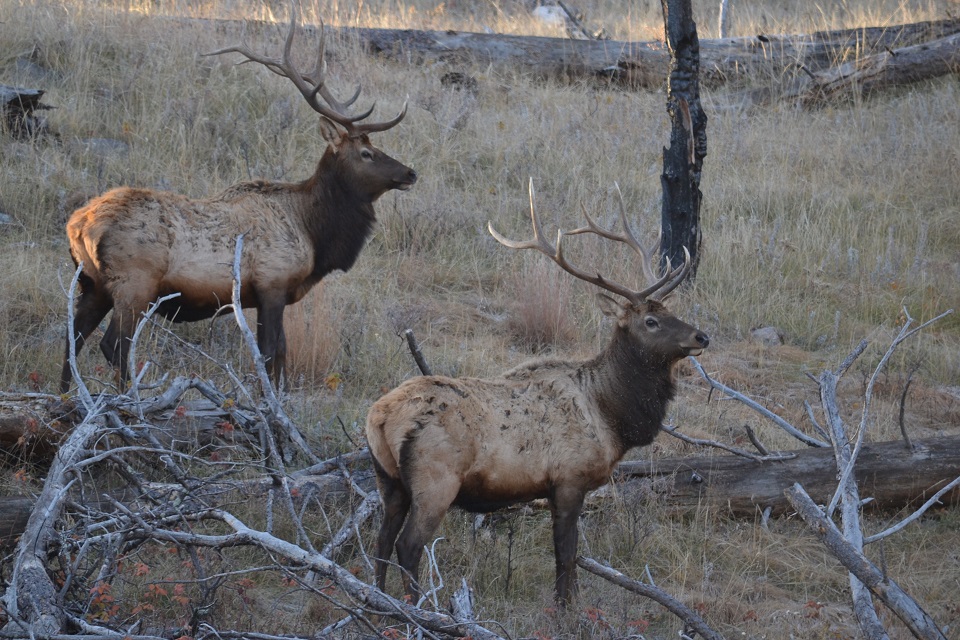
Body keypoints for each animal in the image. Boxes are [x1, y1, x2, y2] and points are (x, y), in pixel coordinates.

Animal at [59, 7, 416, 392]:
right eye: (367, 153)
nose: (410, 173)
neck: (312, 231)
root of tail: (78, 225)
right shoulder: (272, 283)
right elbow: (271, 353)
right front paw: (270, 401)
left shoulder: (262, 295)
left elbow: (279, 353)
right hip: (134, 283)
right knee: (114, 345)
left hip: (92, 283)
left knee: (72, 339)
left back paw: (66, 395)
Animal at [364, 180, 708, 604]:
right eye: (651, 321)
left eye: (670, 312)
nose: (701, 336)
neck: (611, 417)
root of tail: (379, 416)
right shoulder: (569, 479)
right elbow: (566, 557)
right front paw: (566, 608)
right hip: (435, 478)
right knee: (407, 546)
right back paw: (421, 609)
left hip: (388, 480)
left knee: (380, 543)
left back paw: (378, 603)